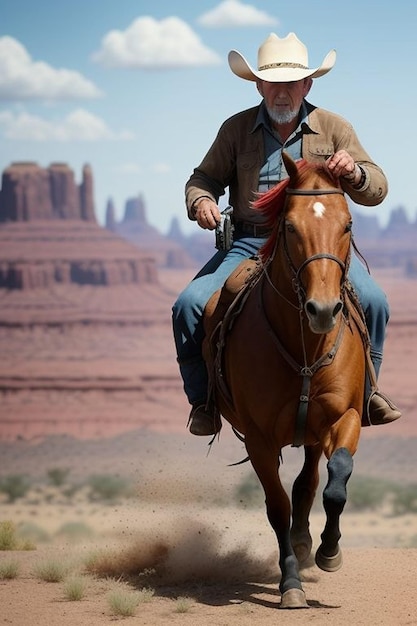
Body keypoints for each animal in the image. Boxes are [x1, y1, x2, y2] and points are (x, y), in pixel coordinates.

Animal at [204, 154, 364, 608]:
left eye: (347, 224)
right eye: (290, 227)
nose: (323, 310)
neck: (305, 344)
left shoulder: (346, 416)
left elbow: (336, 482)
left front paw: (329, 552)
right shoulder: (258, 437)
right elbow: (277, 506)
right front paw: (290, 584)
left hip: (312, 429)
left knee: (310, 481)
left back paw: (307, 542)